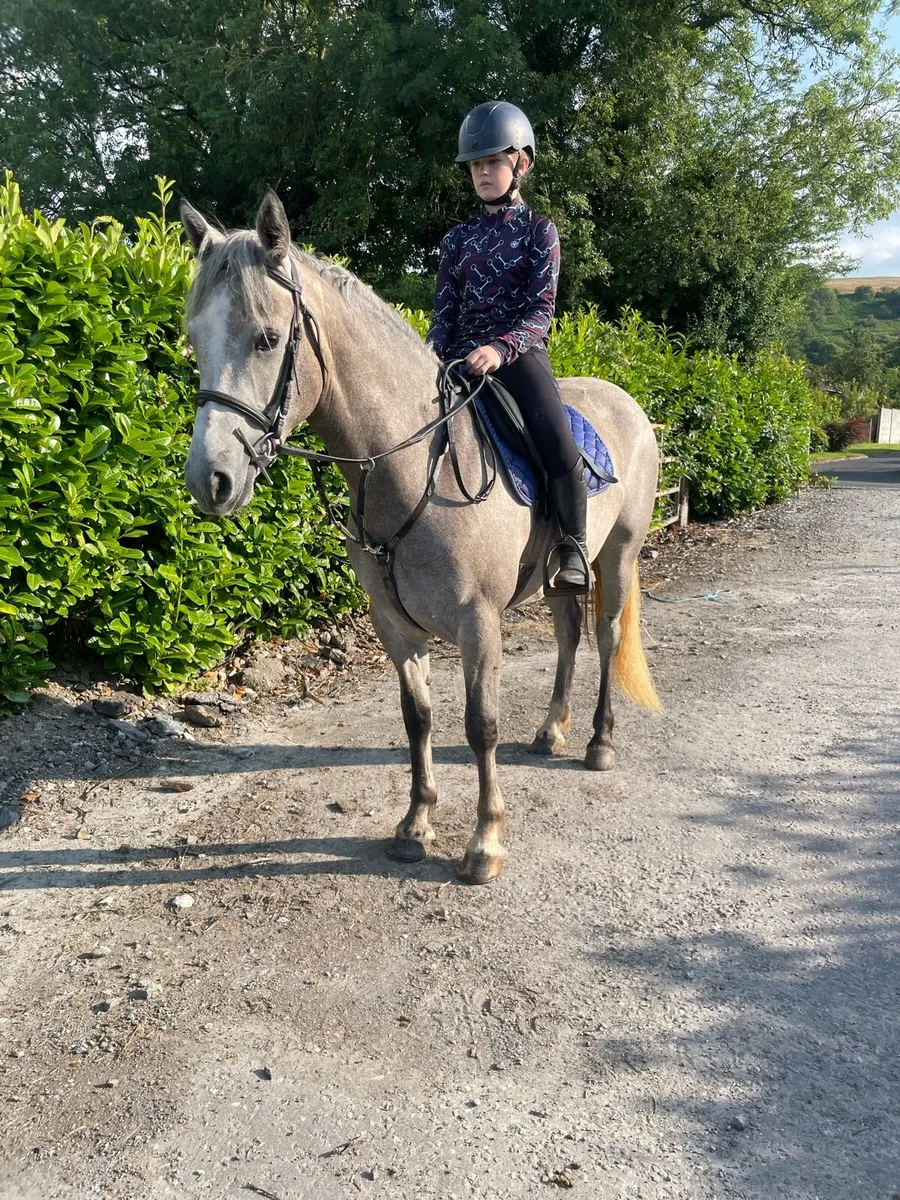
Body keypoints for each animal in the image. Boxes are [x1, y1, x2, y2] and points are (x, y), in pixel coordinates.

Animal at [179, 191, 661, 885]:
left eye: (267, 338)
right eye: (195, 338)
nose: (209, 479)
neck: (415, 466)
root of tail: (625, 400)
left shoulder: (478, 622)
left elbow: (480, 725)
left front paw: (484, 843)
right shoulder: (395, 624)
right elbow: (419, 718)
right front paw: (415, 825)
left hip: (618, 555)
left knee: (605, 636)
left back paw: (599, 742)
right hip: (557, 576)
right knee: (570, 636)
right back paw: (551, 732)